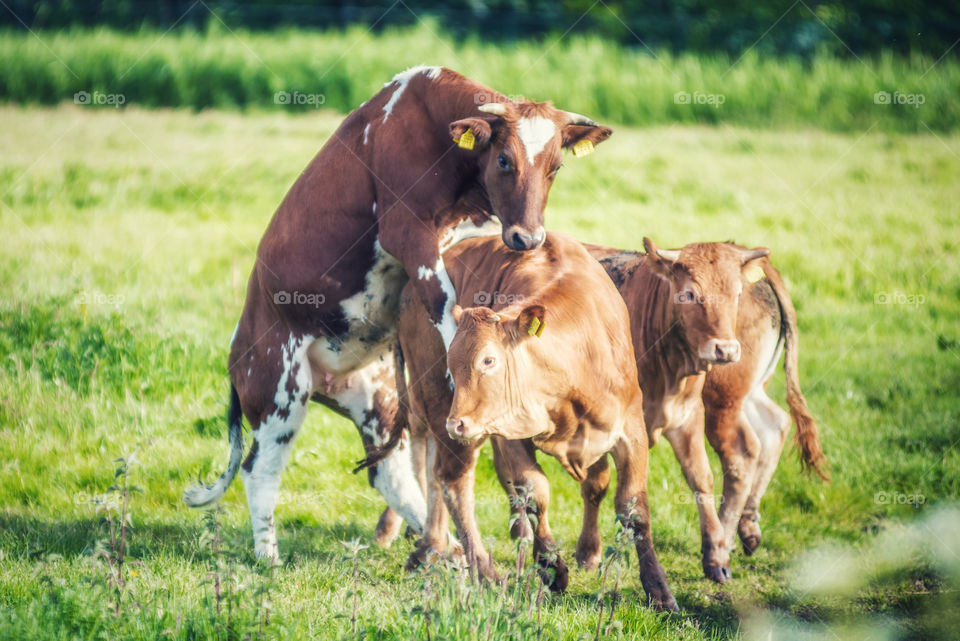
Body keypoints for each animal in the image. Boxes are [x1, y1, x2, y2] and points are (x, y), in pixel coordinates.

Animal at [394, 230, 680, 608]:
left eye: (488, 360)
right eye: (451, 363)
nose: (456, 424)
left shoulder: (631, 431)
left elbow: (631, 506)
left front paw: (658, 590)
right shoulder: (509, 433)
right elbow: (536, 491)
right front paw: (551, 567)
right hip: (442, 408)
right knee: (453, 481)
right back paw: (485, 571)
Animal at [492, 238, 828, 584]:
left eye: (736, 293)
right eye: (689, 293)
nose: (725, 349)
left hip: (724, 400)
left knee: (742, 452)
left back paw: (726, 537)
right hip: (743, 394)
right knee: (773, 427)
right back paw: (745, 529)